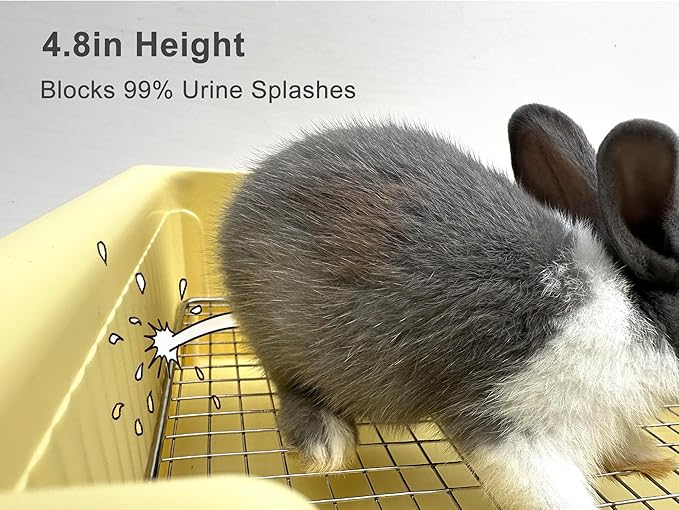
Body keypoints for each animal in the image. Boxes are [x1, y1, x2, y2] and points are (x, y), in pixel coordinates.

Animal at [218, 104, 679, 510]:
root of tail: (243, 197)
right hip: (281, 340)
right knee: (289, 385)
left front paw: (653, 459)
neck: (629, 310)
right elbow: (548, 492)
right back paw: (324, 445)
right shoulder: (511, 426)